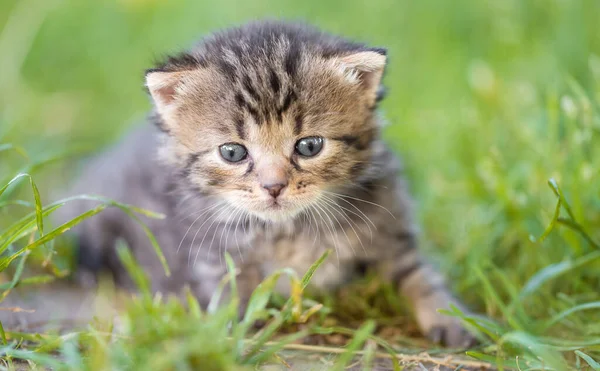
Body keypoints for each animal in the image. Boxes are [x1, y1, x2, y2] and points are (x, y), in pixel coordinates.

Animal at [58, 19, 476, 346]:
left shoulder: (391, 226)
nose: (274, 187)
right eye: (232, 153)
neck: (290, 230)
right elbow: (232, 297)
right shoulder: (214, 255)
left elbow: (421, 275)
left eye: (309, 146)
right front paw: (226, 335)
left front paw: (452, 319)